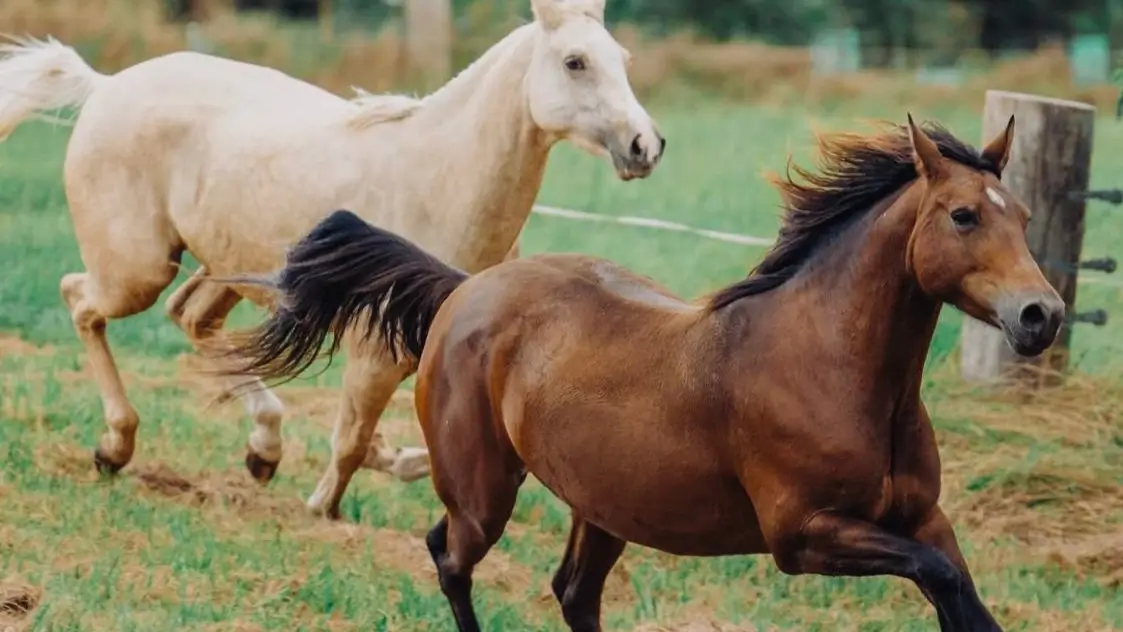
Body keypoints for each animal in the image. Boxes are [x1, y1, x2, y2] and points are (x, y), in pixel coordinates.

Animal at [0, 0, 660, 516]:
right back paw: (116, 447)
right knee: (80, 299)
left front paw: (389, 461)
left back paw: (262, 450)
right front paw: (323, 509)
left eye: (623, 59)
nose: (645, 146)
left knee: (191, 317)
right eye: (575, 62)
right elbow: (351, 441)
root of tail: (105, 85)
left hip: (230, 267)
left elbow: (386, 444)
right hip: (137, 269)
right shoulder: (376, 352)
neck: (440, 178)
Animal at [225, 115, 1060, 632]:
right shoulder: (801, 536)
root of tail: (465, 287)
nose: (1040, 315)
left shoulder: (923, 519)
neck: (836, 372)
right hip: (483, 488)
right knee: (449, 557)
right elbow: (939, 579)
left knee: (571, 592)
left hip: (603, 505)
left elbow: (957, 587)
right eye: (961, 215)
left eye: (1021, 216)